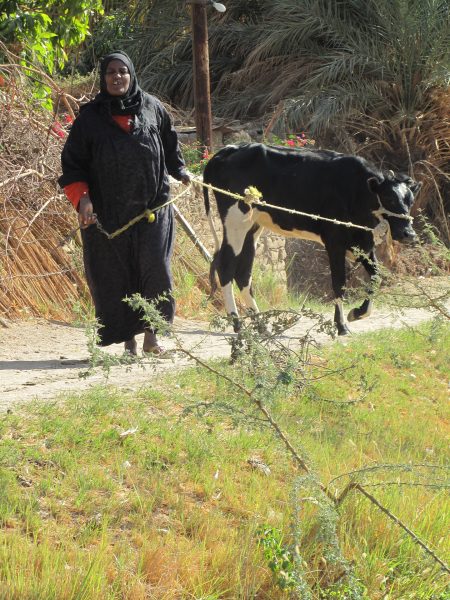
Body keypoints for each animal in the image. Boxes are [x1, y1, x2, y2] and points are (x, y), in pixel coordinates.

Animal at [202, 143, 420, 336]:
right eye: (389, 198)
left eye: (410, 200)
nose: (408, 233)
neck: (355, 190)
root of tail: (228, 149)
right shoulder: (335, 241)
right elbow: (339, 283)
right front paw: (341, 325)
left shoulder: (362, 243)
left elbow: (376, 277)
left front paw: (357, 313)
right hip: (236, 221)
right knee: (226, 267)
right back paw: (237, 324)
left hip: (253, 226)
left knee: (243, 272)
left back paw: (260, 325)